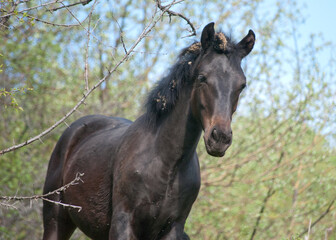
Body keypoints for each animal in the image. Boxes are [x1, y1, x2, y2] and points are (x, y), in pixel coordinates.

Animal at [43, 21, 256, 239]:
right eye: (202, 77)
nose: (220, 138)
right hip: (56, 221)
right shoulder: (123, 223)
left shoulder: (173, 228)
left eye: (242, 85)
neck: (166, 163)